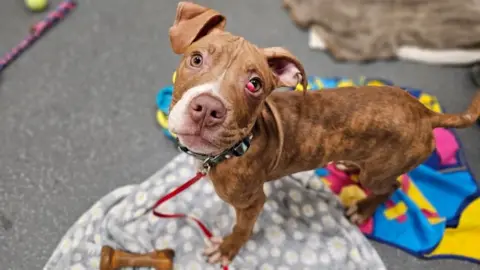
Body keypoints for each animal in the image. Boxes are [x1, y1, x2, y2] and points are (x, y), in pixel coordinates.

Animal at [166, 1, 480, 266]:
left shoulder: (252, 203)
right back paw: (349, 165)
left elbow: (241, 229)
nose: (207, 109)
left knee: (391, 186)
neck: (236, 146)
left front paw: (227, 249)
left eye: (254, 84)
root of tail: (426, 113)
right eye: (196, 59)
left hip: (379, 174)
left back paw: (363, 209)